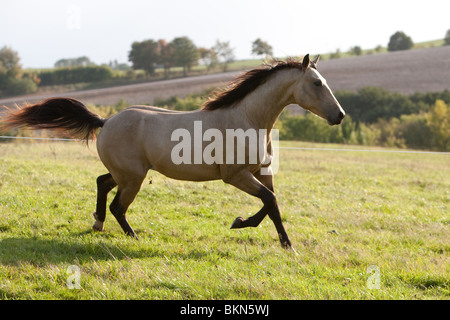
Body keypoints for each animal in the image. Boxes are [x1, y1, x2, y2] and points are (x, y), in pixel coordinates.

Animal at [1, 55, 344, 248]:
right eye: (316, 83)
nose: (339, 115)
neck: (247, 119)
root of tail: (106, 120)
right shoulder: (235, 176)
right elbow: (269, 201)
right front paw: (246, 226)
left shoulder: (261, 172)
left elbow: (271, 204)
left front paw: (279, 240)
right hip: (133, 178)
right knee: (118, 206)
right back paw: (133, 237)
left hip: (127, 173)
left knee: (102, 184)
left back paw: (98, 223)